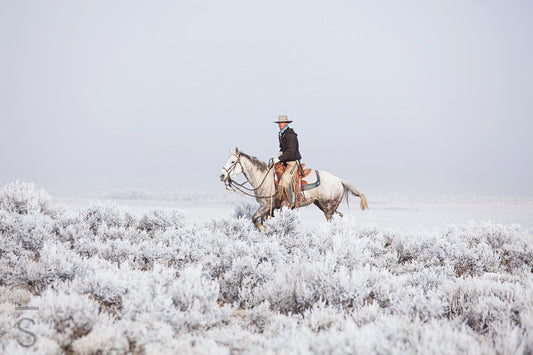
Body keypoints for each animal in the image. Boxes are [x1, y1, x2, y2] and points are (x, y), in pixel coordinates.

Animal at [218, 147, 368, 231]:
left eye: (233, 161)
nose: (222, 175)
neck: (263, 178)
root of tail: (339, 180)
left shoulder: (265, 206)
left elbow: (254, 219)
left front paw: (267, 231)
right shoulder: (267, 209)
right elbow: (260, 221)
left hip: (328, 209)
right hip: (323, 206)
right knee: (340, 216)